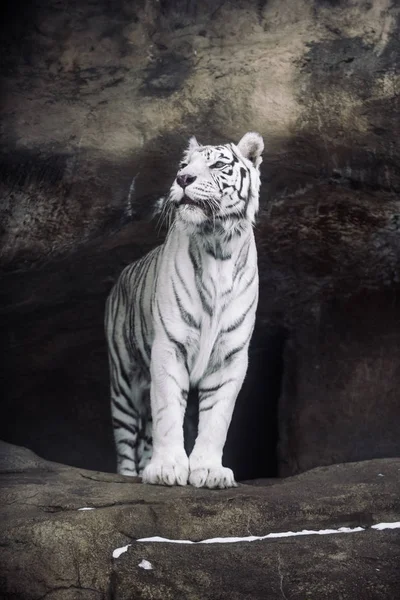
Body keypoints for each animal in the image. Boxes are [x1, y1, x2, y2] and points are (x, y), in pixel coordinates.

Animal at [104, 132, 264, 488]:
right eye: (183, 165)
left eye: (217, 165)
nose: (183, 179)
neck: (218, 247)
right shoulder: (169, 347)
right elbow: (168, 413)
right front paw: (166, 468)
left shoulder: (230, 356)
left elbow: (217, 418)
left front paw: (209, 470)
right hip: (123, 379)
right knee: (125, 439)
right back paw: (130, 475)